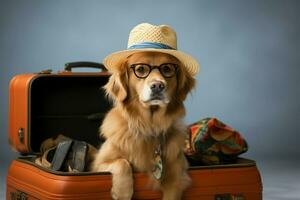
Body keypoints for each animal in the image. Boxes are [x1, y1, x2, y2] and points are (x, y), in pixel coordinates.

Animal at [92, 50, 196, 200]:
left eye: (167, 69)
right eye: (141, 69)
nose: (157, 86)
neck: (148, 125)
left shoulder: (177, 177)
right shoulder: (97, 164)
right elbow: (122, 163)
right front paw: (122, 192)